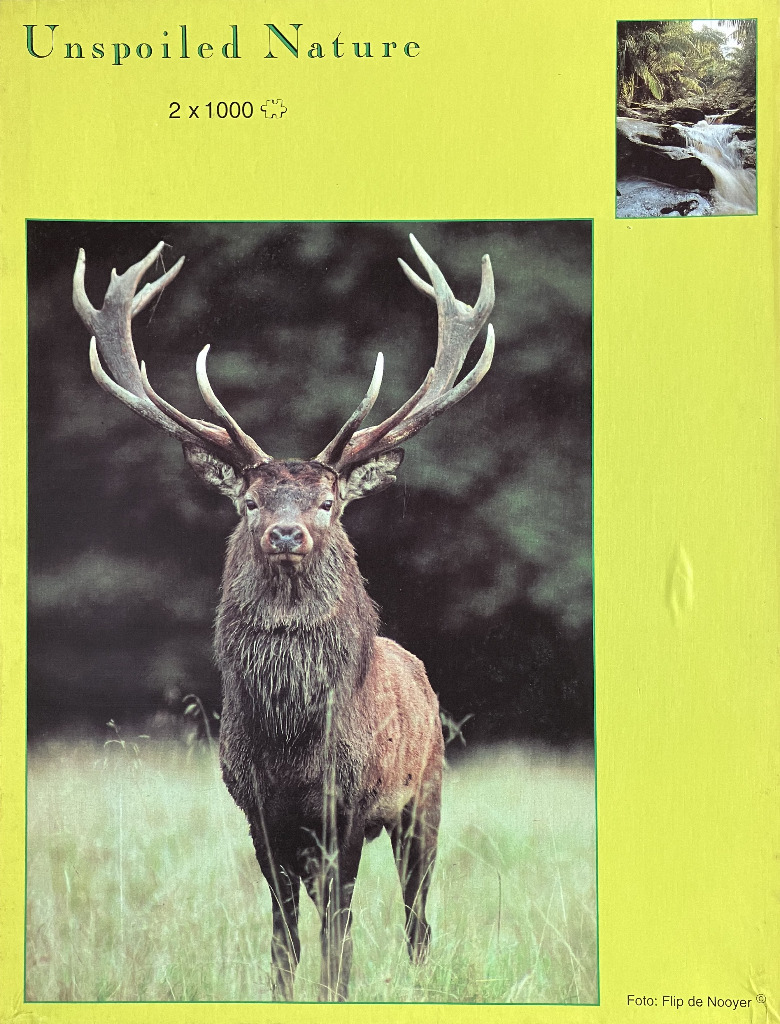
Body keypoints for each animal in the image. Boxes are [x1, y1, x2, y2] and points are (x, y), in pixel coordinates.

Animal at [72, 235, 495, 1001]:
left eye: (328, 502)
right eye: (249, 501)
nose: (286, 533)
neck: (293, 745)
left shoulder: (349, 809)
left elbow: (338, 940)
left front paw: (338, 992)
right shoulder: (259, 814)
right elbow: (283, 940)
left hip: (429, 794)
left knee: (417, 918)